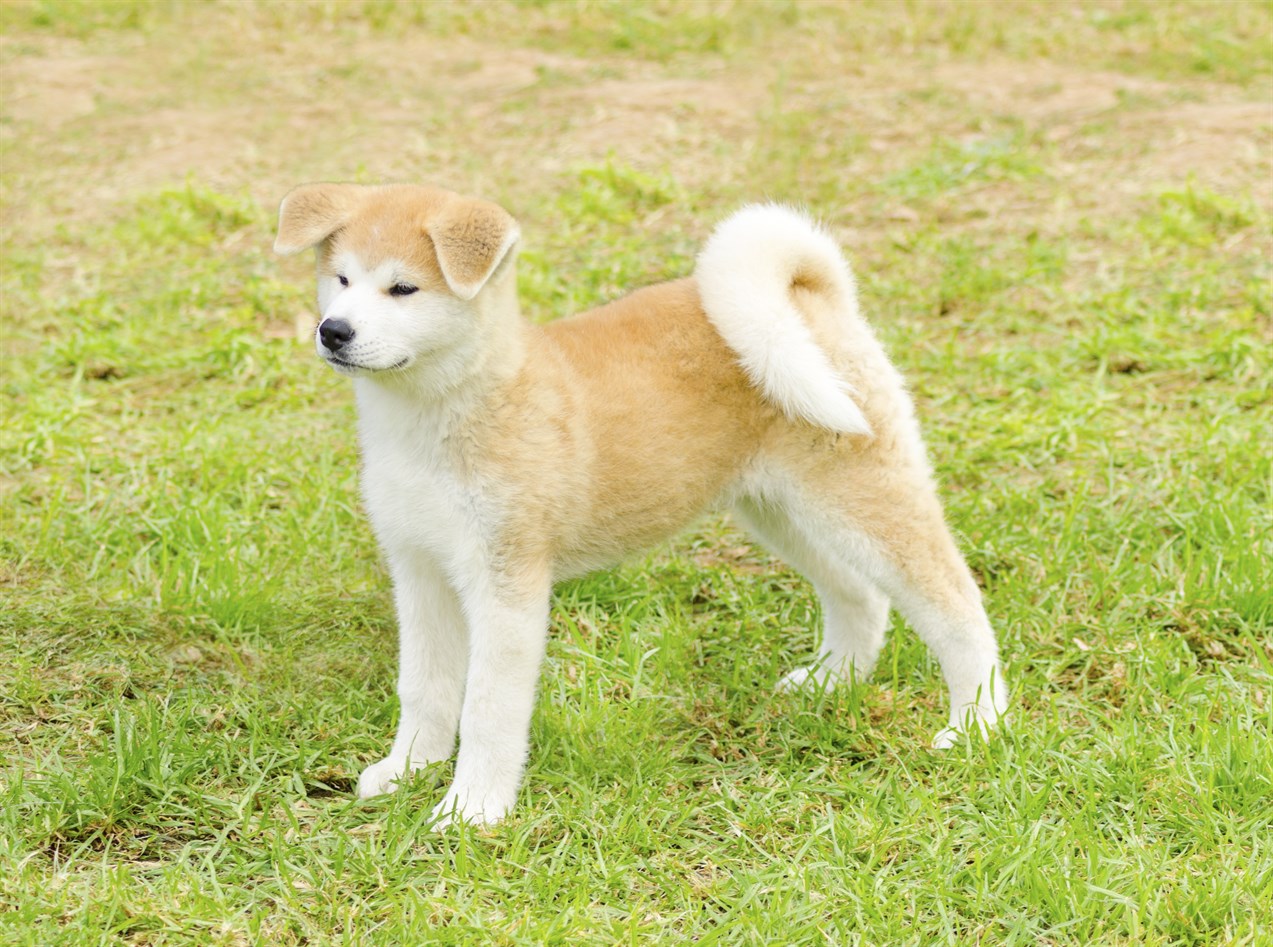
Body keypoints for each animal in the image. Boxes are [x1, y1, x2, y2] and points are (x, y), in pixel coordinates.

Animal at [273, 180, 1008, 824]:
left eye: (403, 288)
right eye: (340, 279)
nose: (334, 330)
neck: (445, 414)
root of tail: (812, 296)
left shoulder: (506, 582)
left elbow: (486, 707)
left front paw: (471, 810)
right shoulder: (420, 571)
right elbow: (424, 688)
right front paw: (408, 770)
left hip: (862, 499)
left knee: (956, 607)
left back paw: (977, 722)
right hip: (782, 510)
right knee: (860, 597)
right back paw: (832, 681)